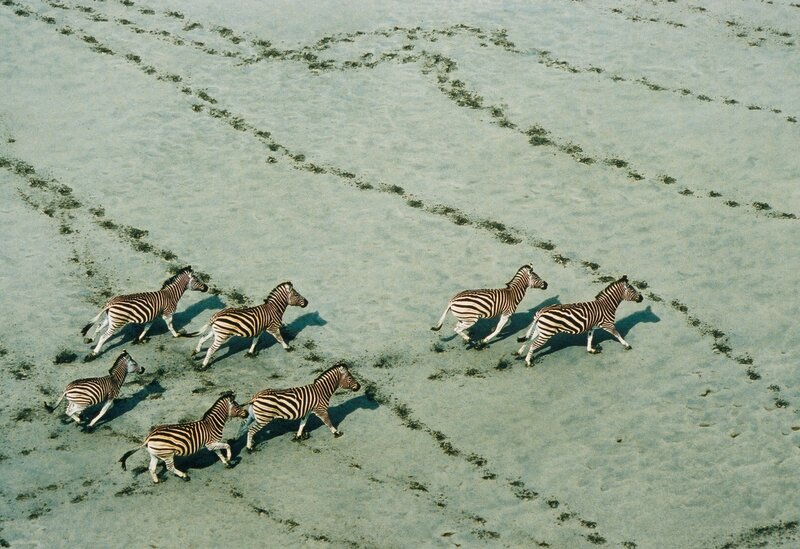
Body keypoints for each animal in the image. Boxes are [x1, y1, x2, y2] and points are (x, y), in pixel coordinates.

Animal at [119, 391, 248, 483]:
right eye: (237, 406)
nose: (246, 413)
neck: (212, 424)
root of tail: (148, 438)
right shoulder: (211, 443)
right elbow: (227, 445)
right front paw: (230, 458)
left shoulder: (213, 444)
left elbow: (219, 453)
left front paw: (227, 463)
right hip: (167, 454)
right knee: (170, 468)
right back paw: (184, 476)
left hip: (154, 454)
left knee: (152, 468)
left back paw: (157, 481)